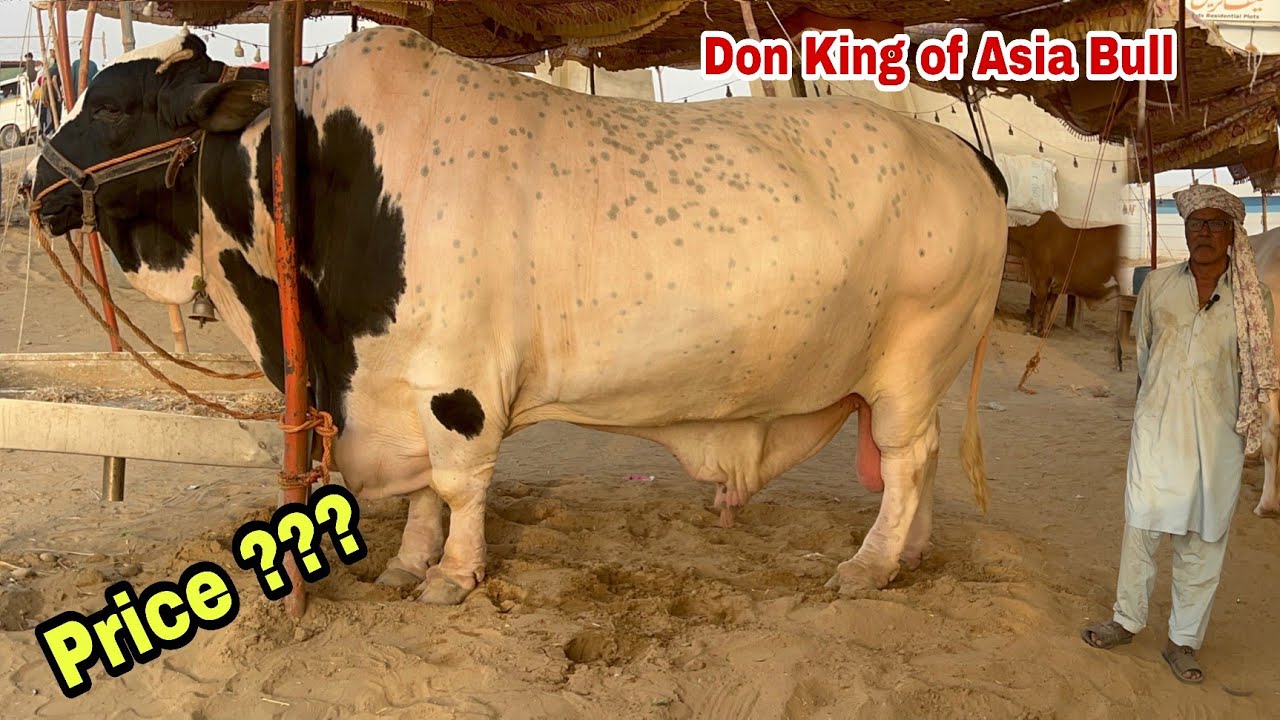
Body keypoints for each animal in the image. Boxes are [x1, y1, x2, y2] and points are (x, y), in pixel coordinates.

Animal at [29, 27, 1009, 605]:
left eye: (109, 104)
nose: (33, 183)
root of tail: (967, 155)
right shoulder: (394, 385)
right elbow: (424, 491)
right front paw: (411, 561)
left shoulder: (453, 382)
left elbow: (460, 483)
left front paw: (452, 576)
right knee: (914, 466)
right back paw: (909, 553)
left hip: (914, 361)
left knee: (909, 461)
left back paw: (871, 562)